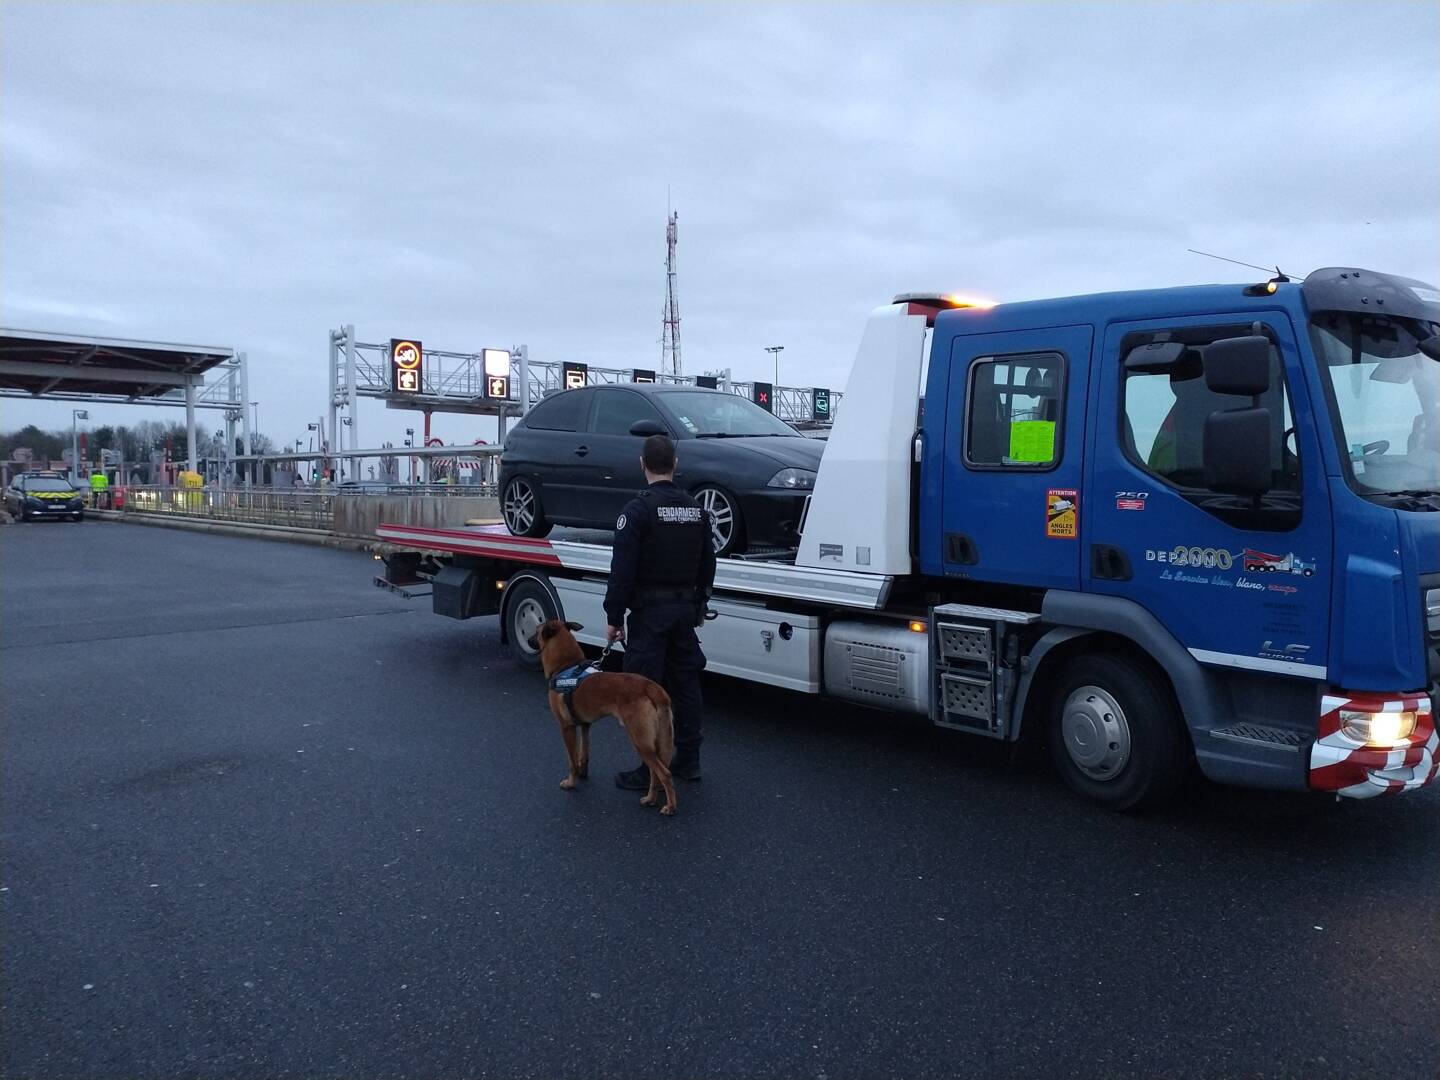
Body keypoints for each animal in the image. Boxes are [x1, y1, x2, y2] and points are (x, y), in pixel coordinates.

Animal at [529, 622, 679, 817]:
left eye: (537, 630)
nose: (528, 639)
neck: (566, 665)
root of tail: (651, 688)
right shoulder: (585, 725)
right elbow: (583, 753)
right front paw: (582, 773)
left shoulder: (566, 727)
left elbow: (571, 760)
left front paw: (571, 783)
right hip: (654, 744)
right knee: (655, 773)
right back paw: (650, 799)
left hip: (640, 742)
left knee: (665, 773)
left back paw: (670, 806)